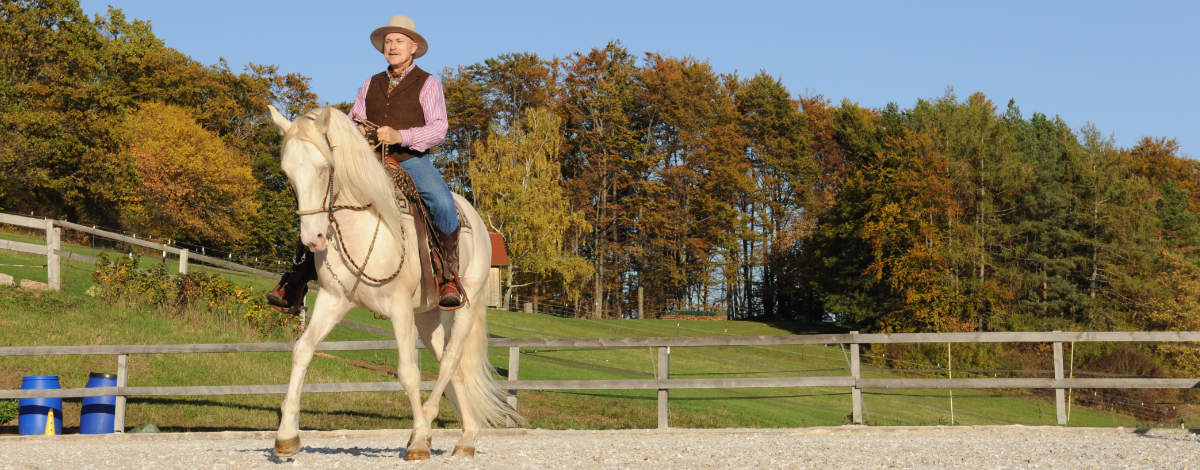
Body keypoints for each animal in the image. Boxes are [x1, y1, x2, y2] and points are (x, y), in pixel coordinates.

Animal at [267, 105, 520, 458]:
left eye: (324, 168)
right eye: (288, 173)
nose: (312, 239)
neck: (362, 225)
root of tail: (479, 223)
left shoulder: (399, 309)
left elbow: (409, 373)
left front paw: (419, 440)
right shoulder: (333, 300)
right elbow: (302, 350)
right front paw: (287, 436)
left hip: (463, 308)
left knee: (450, 361)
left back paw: (427, 429)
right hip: (427, 318)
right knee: (454, 368)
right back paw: (466, 438)